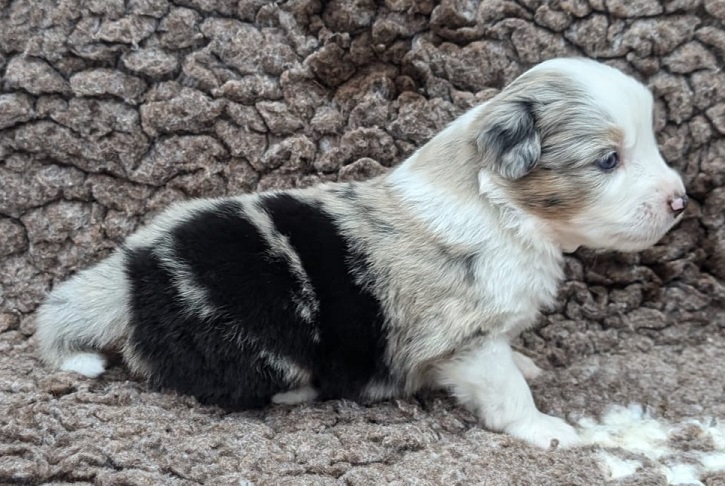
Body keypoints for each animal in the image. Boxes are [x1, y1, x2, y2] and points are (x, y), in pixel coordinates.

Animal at [35, 58, 687, 449]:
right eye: (608, 160)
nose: (680, 201)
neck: (504, 210)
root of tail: (127, 277)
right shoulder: (465, 338)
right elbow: (506, 391)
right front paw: (546, 429)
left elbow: (513, 362)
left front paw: (528, 362)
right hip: (253, 335)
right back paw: (299, 393)